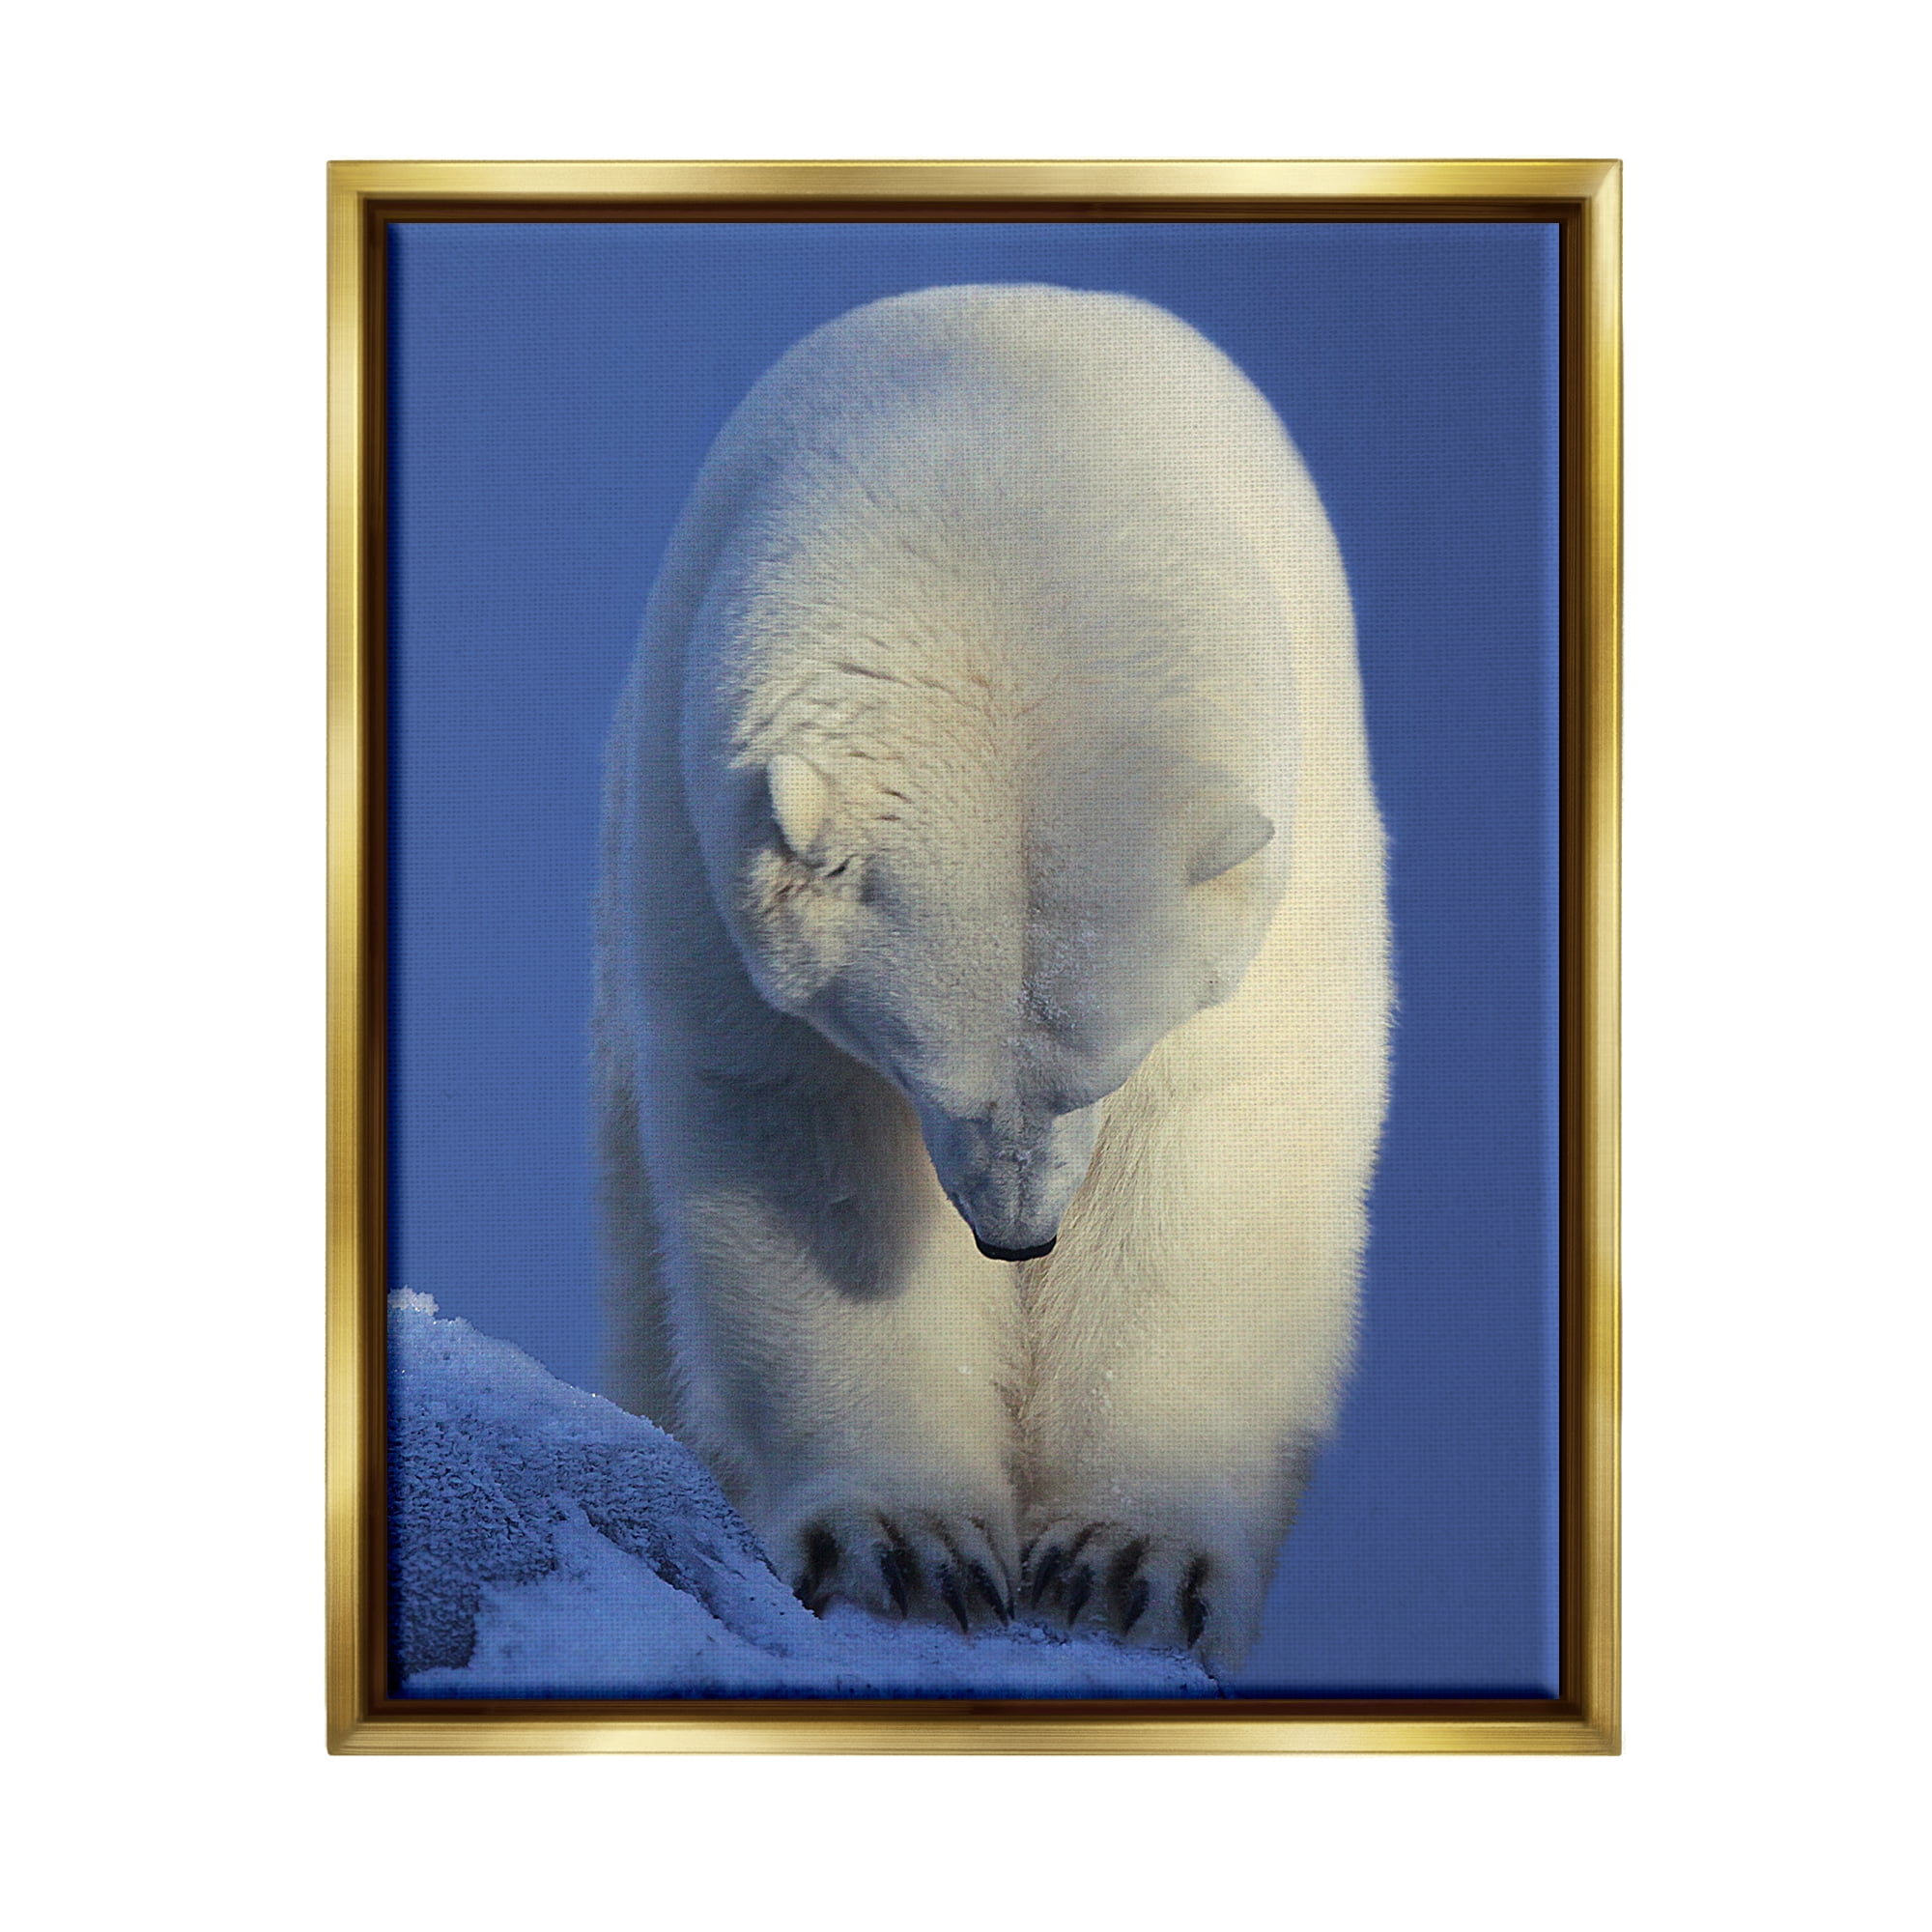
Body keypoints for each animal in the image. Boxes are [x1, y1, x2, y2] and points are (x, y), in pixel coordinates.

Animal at [594, 284, 1390, 1675]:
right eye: (919, 1064)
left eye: (1102, 1065)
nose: (1018, 1236)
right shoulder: (701, 858)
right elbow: (807, 1155)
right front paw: (907, 1551)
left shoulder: (1290, 870)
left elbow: (1221, 1150)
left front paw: (1129, 1566)